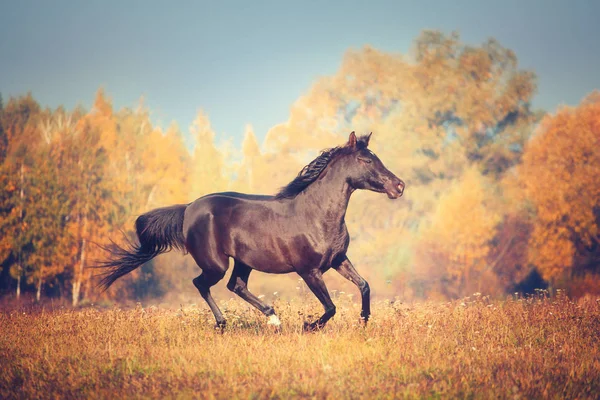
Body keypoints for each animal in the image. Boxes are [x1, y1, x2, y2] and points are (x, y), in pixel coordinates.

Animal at [98, 132, 406, 332]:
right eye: (366, 160)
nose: (399, 186)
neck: (316, 214)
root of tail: (188, 209)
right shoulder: (308, 271)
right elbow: (330, 307)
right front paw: (309, 325)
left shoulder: (338, 260)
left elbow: (364, 285)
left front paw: (364, 320)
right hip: (216, 264)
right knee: (202, 284)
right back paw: (224, 323)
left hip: (243, 262)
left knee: (236, 285)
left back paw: (273, 319)